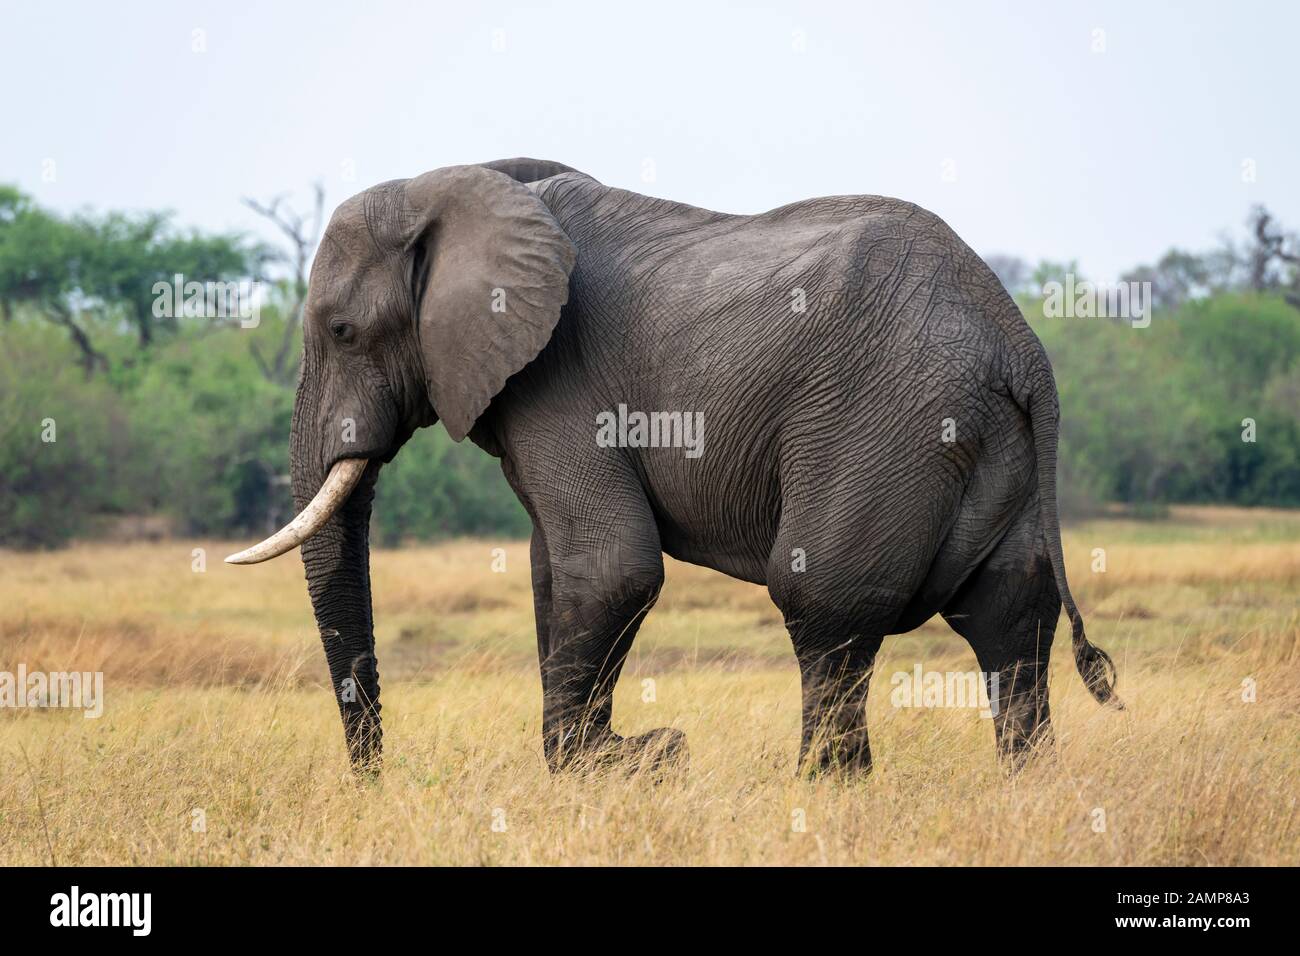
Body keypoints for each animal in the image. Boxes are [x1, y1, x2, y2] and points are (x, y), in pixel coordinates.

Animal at [223, 155, 1118, 780]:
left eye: (341, 331)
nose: (375, 779)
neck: (453, 183)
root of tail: (1020, 341)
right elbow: (554, 575)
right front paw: (619, 762)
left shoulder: (561, 381)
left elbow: (610, 568)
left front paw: (631, 760)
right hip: (992, 441)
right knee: (1009, 610)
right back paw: (1024, 788)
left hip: (886, 422)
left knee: (824, 599)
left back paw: (823, 793)